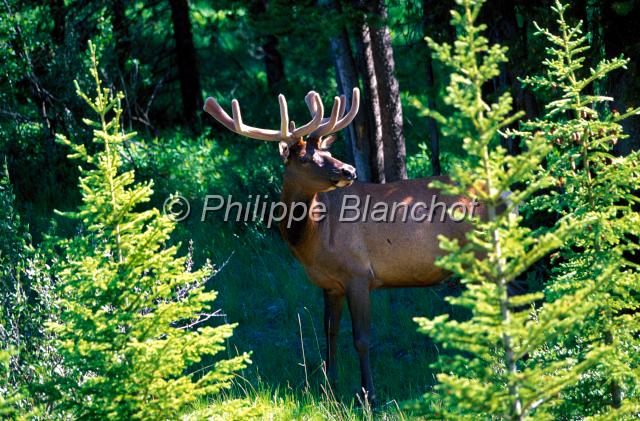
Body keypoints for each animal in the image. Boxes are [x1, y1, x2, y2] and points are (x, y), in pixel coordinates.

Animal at [203, 88, 483, 403]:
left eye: (327, 152)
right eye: (304, 158)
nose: (349, 170)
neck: (314, 237)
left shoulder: (359, 274)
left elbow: (361, 338)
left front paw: (369, 394)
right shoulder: (329, 284)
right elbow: (330, 331)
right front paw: (329, 385)